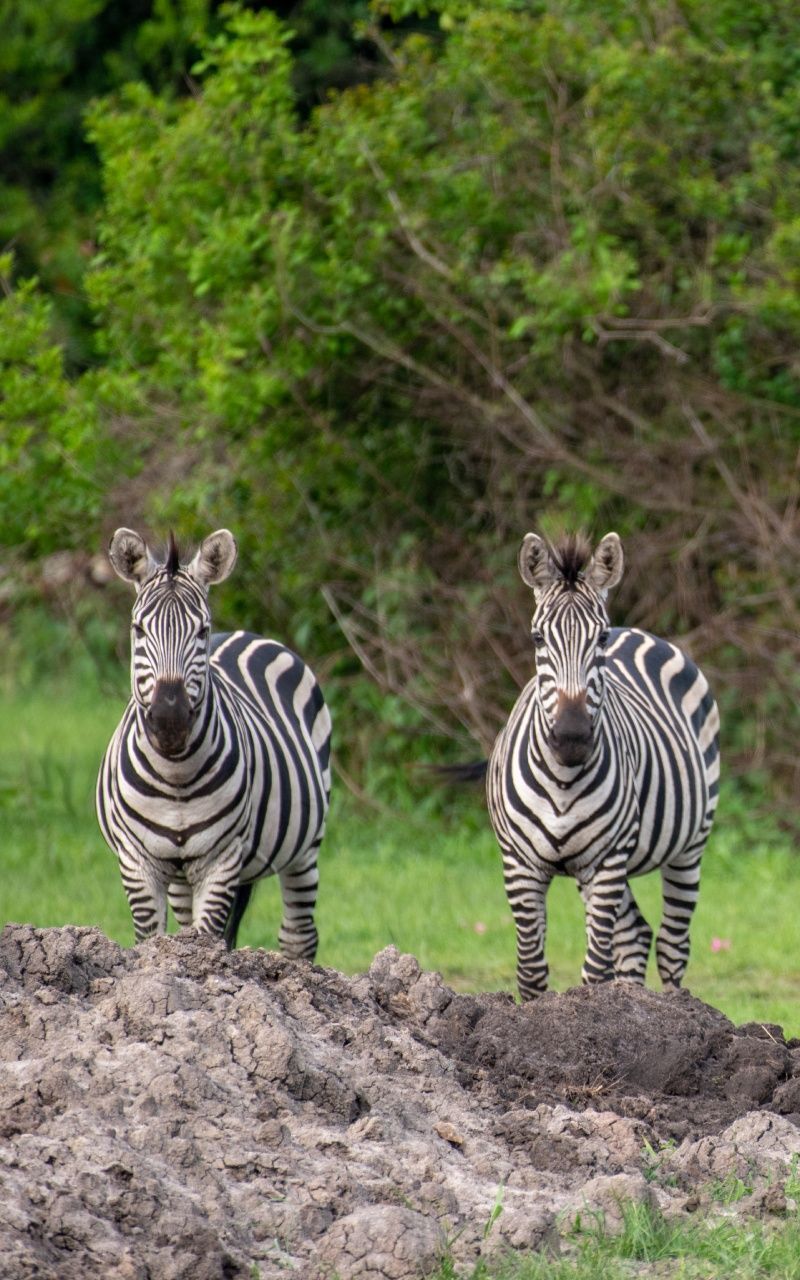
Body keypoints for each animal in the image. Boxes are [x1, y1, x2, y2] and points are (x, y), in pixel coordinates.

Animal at [96, 527, 331, 953]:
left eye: (202, 631)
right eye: (138, 629)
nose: (170, 720)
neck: (175, 775)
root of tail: (241, 632)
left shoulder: (221, 859)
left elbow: (207, 941)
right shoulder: (137, 861)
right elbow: (155, 939)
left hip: (305, 847)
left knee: (298, 935)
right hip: (181, 875)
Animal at [484, 531, 720, 1001]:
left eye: (601, 639)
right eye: (537, 639)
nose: (572, 739)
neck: (563, 781)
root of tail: (639, 632)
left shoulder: (607, 861)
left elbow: (594, 972)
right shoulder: (519, 863)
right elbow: (531, 972)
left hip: (690, 844)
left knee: (672, 944)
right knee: (636, 936)